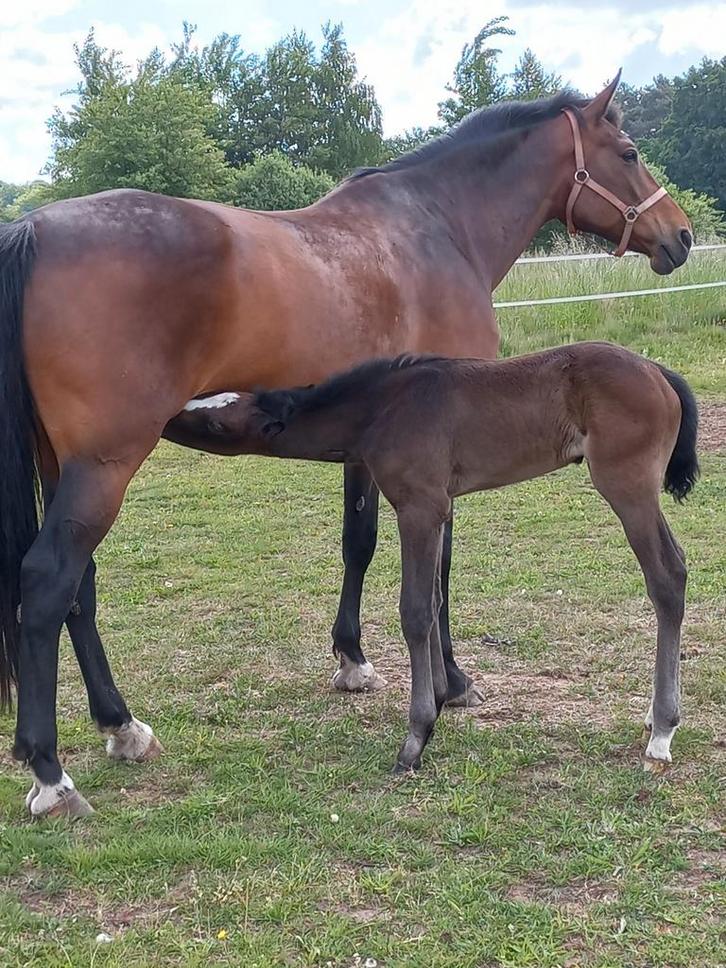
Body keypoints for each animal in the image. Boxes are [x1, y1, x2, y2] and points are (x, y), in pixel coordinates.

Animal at [179, 341, 698, 775]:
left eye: (217, 421)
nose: (170, 417)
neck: (383, 408)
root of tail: (658, 371)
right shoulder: (438, 508)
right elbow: (433, 600)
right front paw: (446, 696)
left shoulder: (419, 507)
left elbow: (414, 611)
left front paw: (417, 735)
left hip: (626, 485)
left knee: (668, 575)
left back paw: (662, 730)